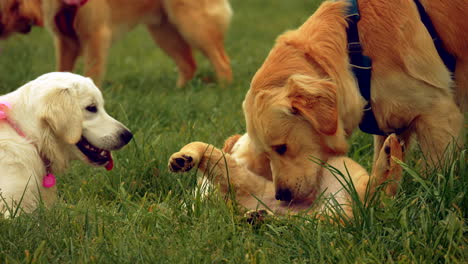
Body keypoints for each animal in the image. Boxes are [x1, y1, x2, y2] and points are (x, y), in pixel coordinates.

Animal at [0, 0, 232, 86]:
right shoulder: (65, 41)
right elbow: (62, 72)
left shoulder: (95, 34)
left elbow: (91, 73)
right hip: (165, 31)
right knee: (188, 65)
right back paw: (180, 91)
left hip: (192, 24)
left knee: (222, 62)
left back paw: (222, 90)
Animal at [170, 133, 404, 218]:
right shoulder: (240, 181)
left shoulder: (238, 178)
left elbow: (205, 147)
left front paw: (183, 157)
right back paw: (259, 218)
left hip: (338, 168)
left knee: (379, 190)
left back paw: (391, 152)